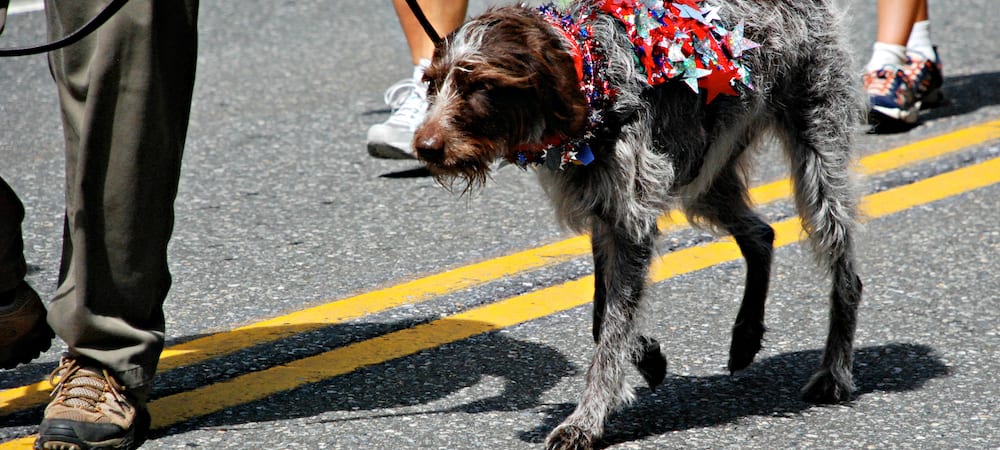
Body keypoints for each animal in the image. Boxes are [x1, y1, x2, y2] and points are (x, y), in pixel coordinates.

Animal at [410, 1, 864, 448]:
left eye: (481, 86)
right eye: (431, 83)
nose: (425, 147)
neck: (591, 70)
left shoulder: (631, 222)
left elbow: (612, 326)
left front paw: (586, 419)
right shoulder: (603, 215)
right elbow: (602, 313)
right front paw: (645, 355)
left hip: (816, 160)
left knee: (846, 275)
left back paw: (834, 372)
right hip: (706, 175)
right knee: (761, 235)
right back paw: (747, 335)